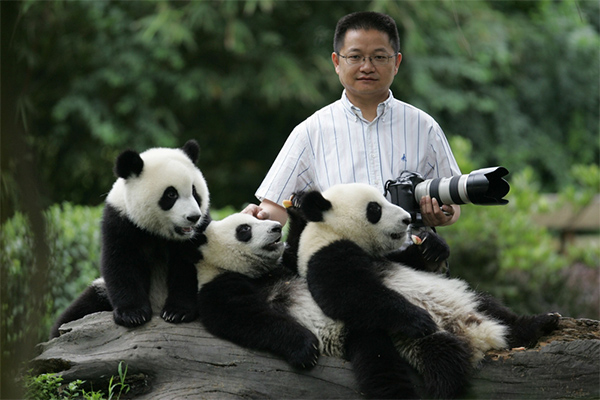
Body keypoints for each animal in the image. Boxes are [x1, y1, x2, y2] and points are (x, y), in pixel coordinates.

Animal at [50, 141, 212, 338]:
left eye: (195, 192)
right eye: (171, 194)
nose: (193, 217)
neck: (158, 231)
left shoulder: (200, 230)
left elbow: (190, 266)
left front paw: (177, 312)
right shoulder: (121, 221)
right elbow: (122, 263)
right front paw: (133, 315)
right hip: (99, 292)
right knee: (76, 312)